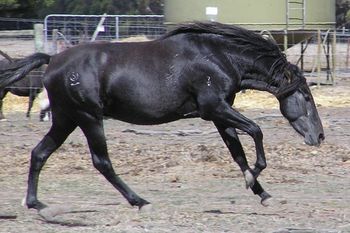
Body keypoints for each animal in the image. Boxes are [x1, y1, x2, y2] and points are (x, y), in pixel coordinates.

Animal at [0, 21, 324, 213]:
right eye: (307, 97)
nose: (318, 136)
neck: (219, 58)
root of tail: (52, 60)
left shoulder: (219, 114)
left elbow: (238, 154)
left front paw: (261, 192)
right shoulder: (214, 108)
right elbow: (256, 131)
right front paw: (252, 179)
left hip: (66, 119)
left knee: (40, 153)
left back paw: (35, 203)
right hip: (88, 117)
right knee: (101, 162)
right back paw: (139, 201)